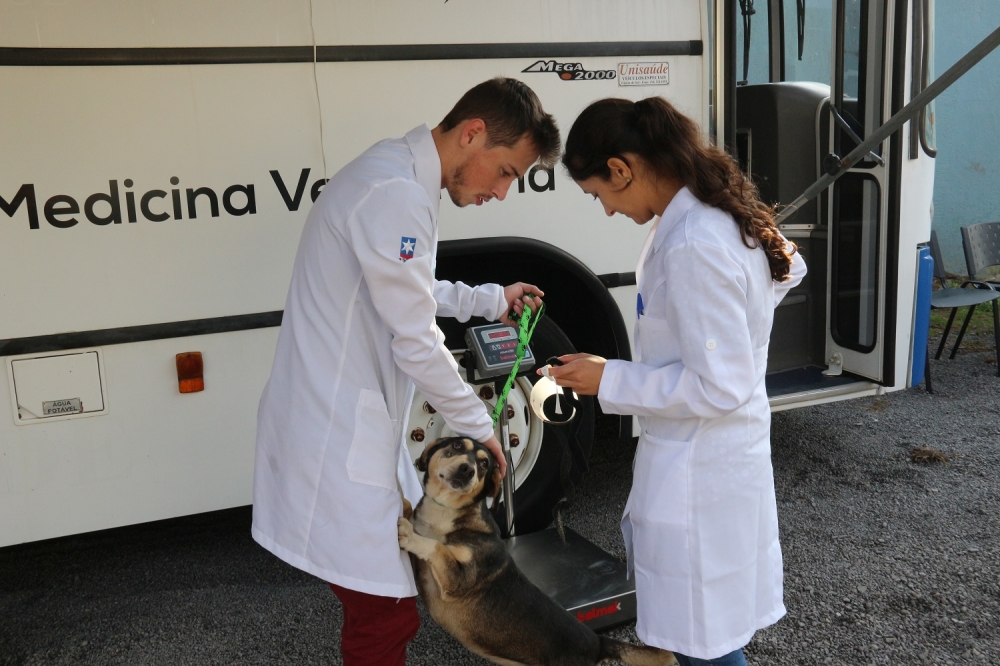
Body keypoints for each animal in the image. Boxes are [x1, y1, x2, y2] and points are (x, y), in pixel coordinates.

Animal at [396, 436, 672, 664]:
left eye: (484, 464)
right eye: (456, 446)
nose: (468, 469)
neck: (445, 511)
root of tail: (597, 643)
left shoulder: (459, 579)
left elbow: (436, 546)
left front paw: (408, 532)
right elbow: (413, 515)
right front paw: (403, 503)